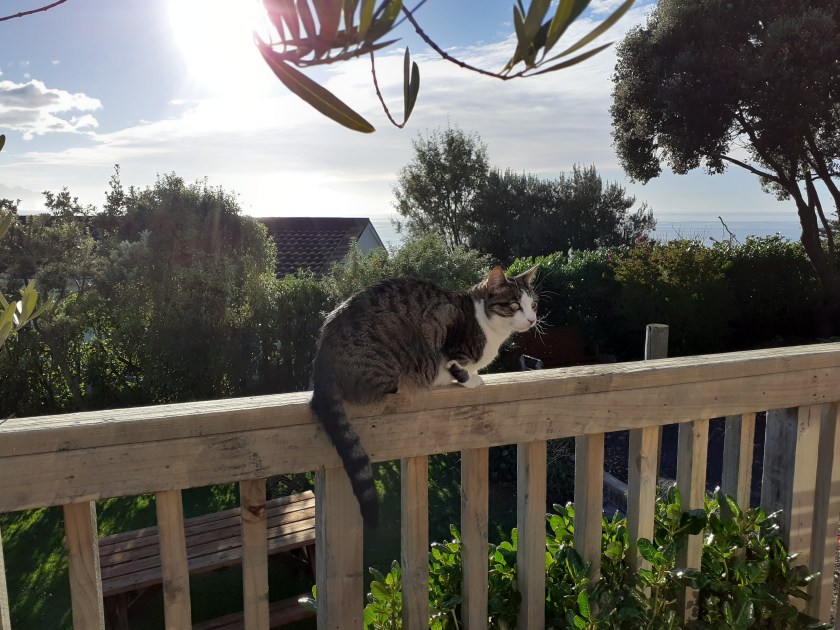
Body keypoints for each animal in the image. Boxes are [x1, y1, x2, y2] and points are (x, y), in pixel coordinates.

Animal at [309, 265, 539, 528]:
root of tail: (321, 366)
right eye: (514, 304)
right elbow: (457, 367)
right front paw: (471, 379)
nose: (532, 320)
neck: (487, 325)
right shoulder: (446, 335)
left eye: (533, 304)